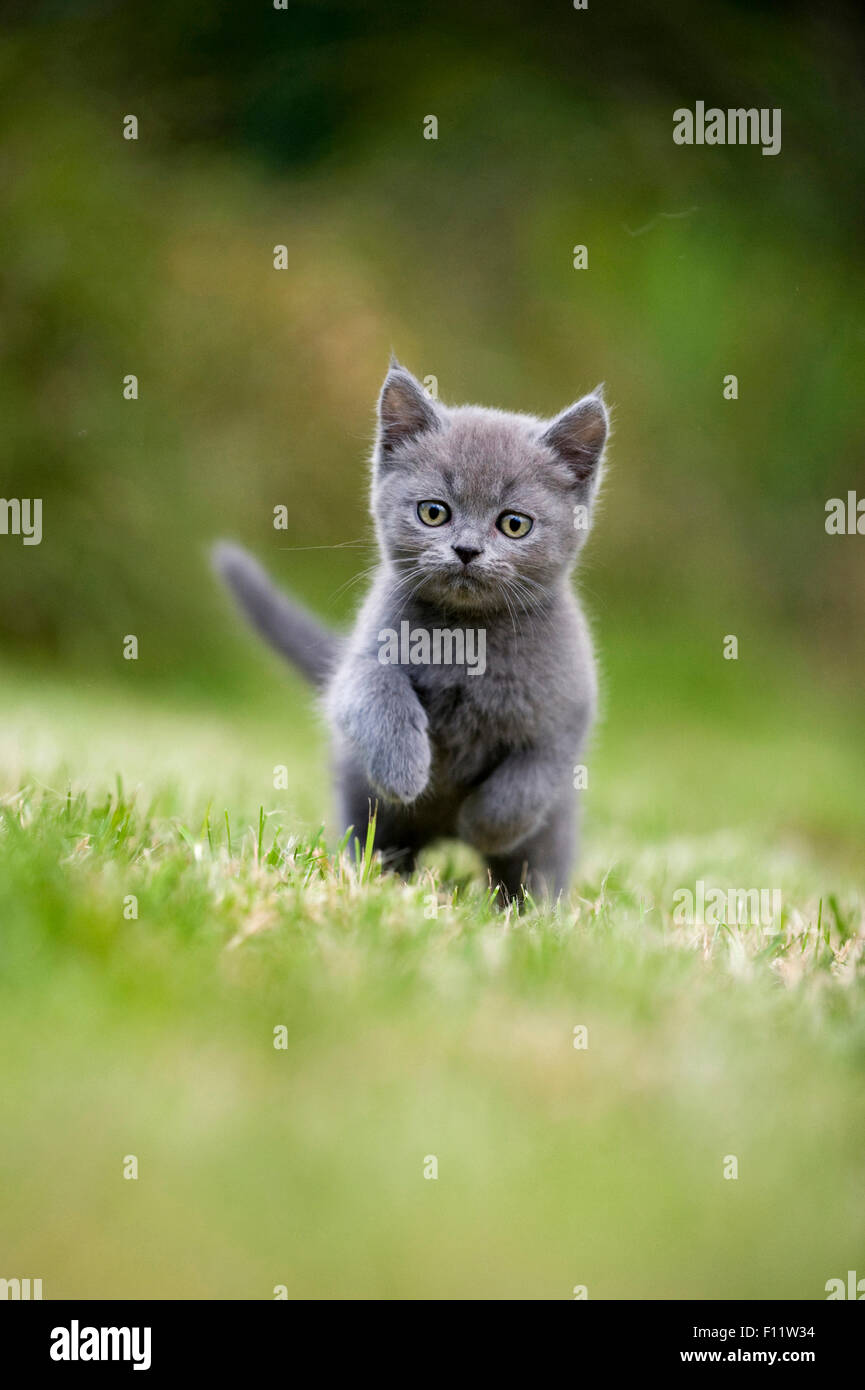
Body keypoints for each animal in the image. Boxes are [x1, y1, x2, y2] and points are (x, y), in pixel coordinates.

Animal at [216, 361, 609, 900]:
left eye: (514, 524)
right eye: (434, 511)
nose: (466, 550)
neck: (465, 641)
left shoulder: (569, 712)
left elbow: (531, 778)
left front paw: (485, 825)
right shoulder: (359, 662)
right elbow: (376, 691)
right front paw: (405, 771)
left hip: (556, 833)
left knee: (538, 868)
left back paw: (528, 907)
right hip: (359, 799)